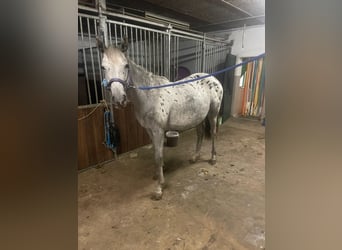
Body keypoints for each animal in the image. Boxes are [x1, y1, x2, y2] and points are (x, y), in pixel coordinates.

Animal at [99, 38, 222, 199]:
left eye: (126, 65)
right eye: (103, 67)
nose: (119, 99)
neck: (150, 95)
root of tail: (213, 79)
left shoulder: (158, 131)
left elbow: (158, 156)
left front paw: (159, 189)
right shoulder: (149, 130)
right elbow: (155, 154)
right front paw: (157, 175)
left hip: (213, 114)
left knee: (213, 133)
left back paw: (213, 159)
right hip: (199, 117)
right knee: (200, 134)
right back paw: (194, 157)